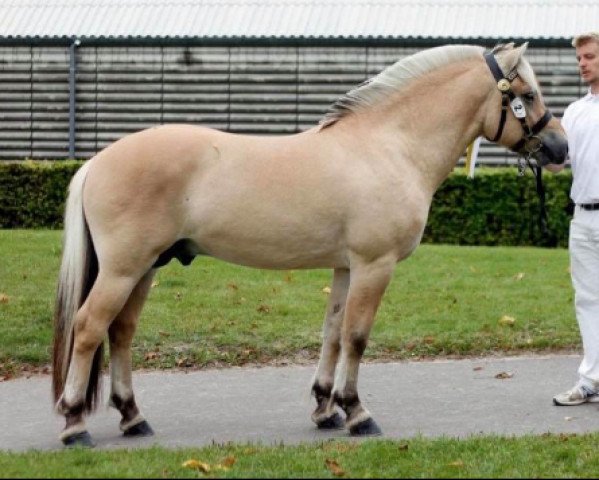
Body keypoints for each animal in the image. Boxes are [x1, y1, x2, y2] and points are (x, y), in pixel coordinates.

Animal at [50, 41, 568, 446]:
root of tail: (97, 162)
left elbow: (333, 334)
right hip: (123, 269)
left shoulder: (345, 266)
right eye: (526, 95)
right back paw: (74, 423)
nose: (559, 148)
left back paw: (132, 417)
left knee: (120, 332)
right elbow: (357, 337)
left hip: (144, 268)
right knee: (89, 327)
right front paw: (357, 412)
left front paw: (325, 408)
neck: (389, 145)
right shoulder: (374, 265)